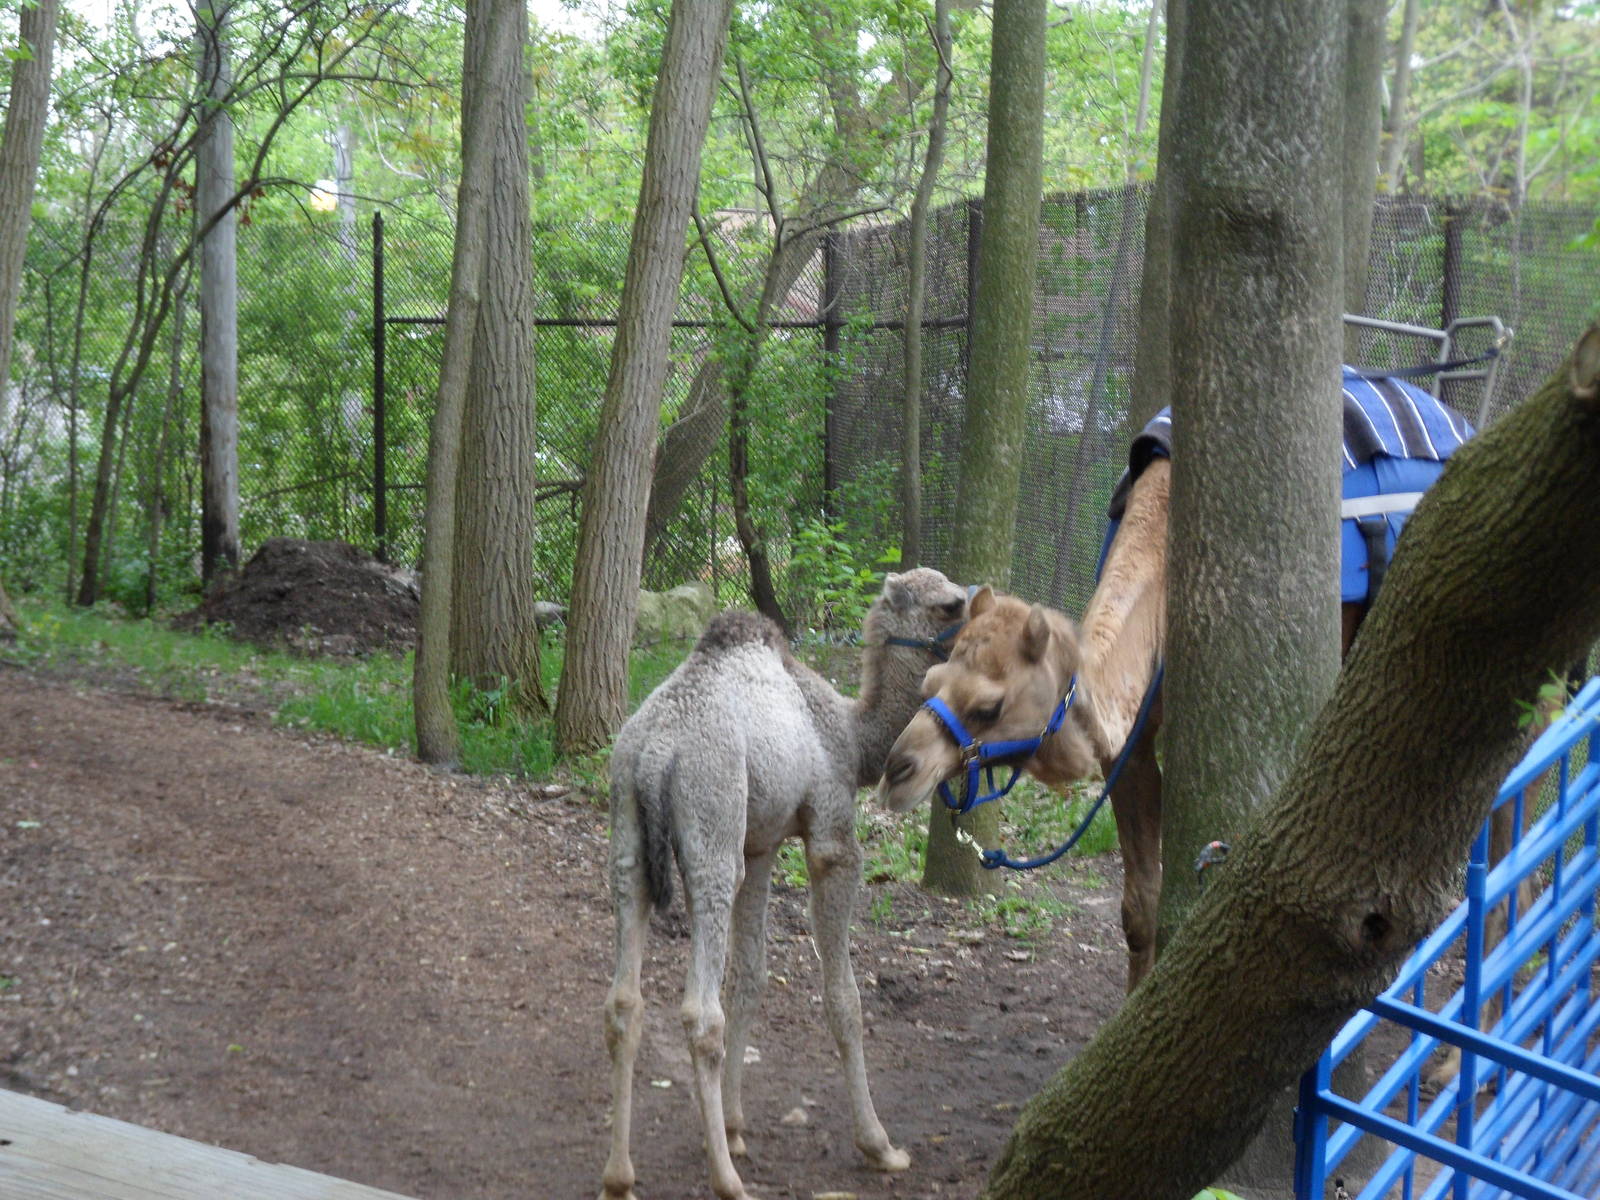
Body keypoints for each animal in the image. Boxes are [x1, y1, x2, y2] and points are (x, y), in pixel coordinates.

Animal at [600, 567, 968, 1200]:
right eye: (951, 605)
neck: (851, 734)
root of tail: (656, 751)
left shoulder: (762, 842)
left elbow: (749, 977)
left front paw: (734, 1127)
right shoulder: (830, 838)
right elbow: (843, 996)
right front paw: (880, 1146)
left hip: (629, 827)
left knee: (625, 1000)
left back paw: (619, 1178)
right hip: (712, 820)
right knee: (699, 1011)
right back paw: (727, 1182)